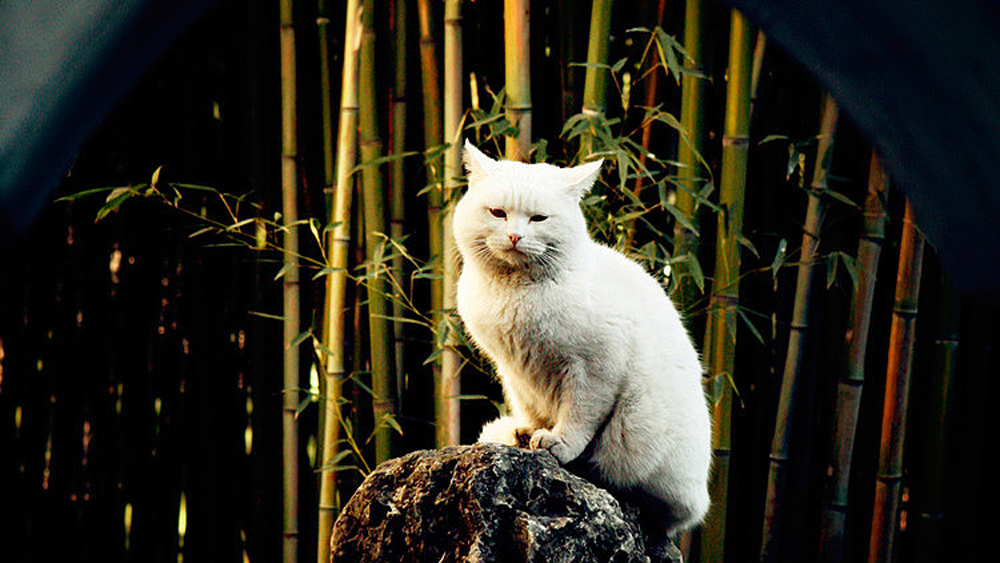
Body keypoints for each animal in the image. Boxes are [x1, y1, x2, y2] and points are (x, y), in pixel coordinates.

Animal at [453, 140, 712, 536]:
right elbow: (532, 408)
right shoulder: (514, 372)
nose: (515, 236)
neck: (515, 292)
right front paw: (529, 433)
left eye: (538, 219)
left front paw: (557, 441)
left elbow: (580, 413)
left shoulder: (595, 367)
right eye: (498, 213)